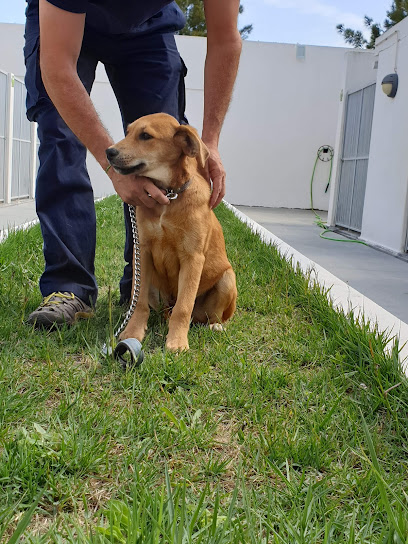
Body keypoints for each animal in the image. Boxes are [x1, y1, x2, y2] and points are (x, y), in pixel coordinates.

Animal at [107, 115, 237, 352]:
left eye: (145, 136)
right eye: (128, 132)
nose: (108, 152)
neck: (169, 195)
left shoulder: (193, 258)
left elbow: (183, 307)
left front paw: (176, 342)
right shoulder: (143, 252)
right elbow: (138, 302)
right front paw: (133, 332)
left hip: (227, 279)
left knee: (210, 316)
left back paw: (214, 326)